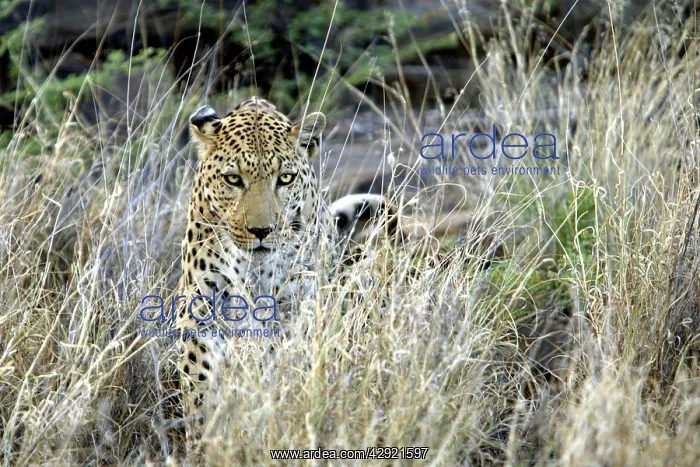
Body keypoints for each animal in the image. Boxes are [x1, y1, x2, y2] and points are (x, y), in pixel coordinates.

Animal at [173, 96, 396, 448]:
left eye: (286, 179)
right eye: (233, 179)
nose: (262, 231)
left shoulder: (295, 311)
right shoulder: (202, 307)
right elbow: (200, 379)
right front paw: (204, 438)